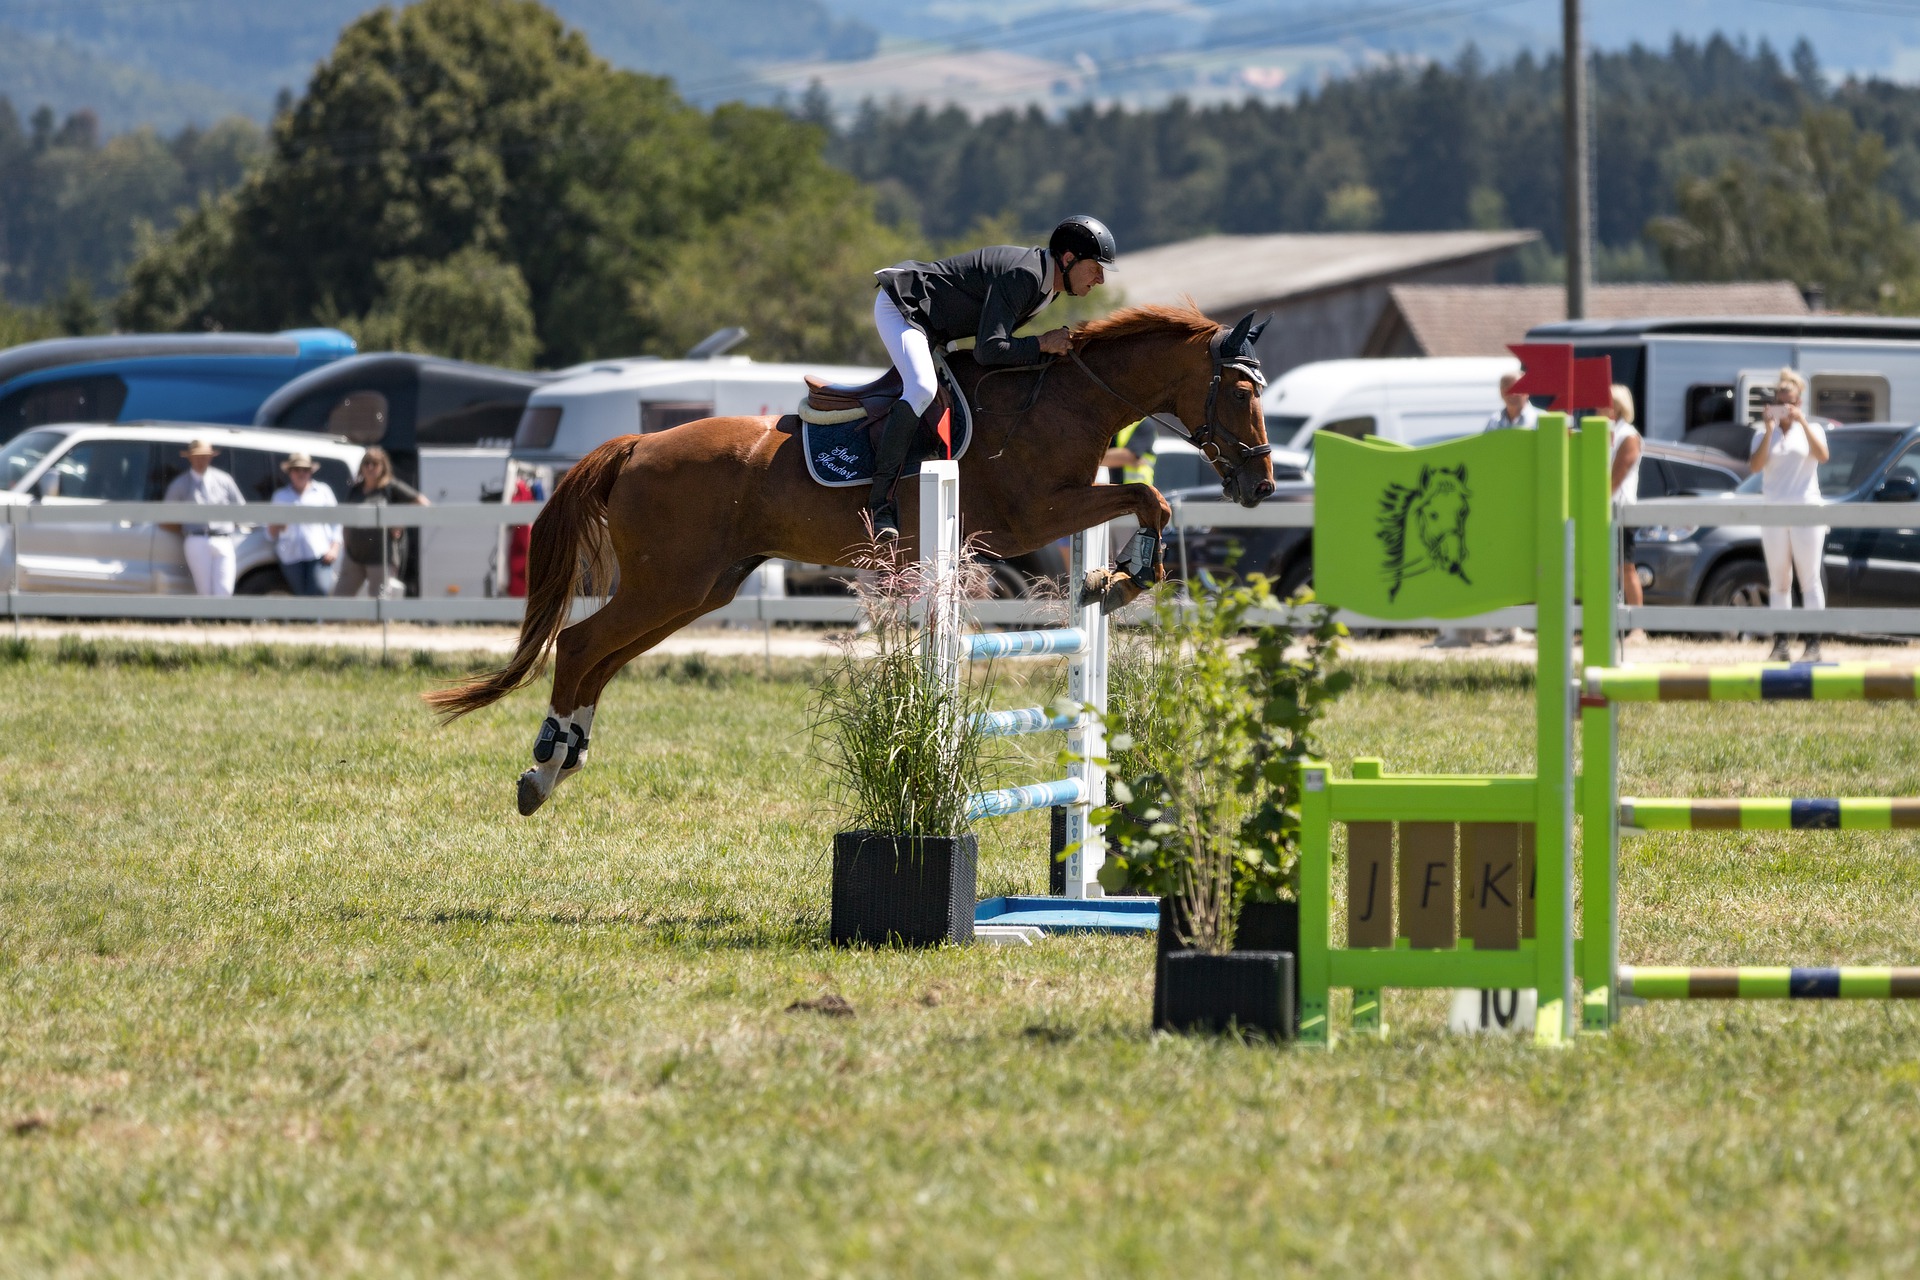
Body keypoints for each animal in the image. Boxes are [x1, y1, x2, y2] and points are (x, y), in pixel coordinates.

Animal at [428, 305, 1282, 817]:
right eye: (1242, 394)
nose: (1262, 484)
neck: (1066, 398)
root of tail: (636, 444)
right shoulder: (1031, 517)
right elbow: (1148, 495)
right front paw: (1125, 574)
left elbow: (1144, 496)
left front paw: (1115, 577)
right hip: (669, 582)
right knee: (580, 645)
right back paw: (543, 766)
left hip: (698, 588)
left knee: (603, 657)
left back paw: (561, 760)